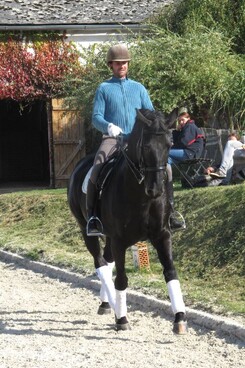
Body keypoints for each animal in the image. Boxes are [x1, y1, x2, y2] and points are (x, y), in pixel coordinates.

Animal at [68, 108, 187, 334]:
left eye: (169, 145)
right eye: (146, 146)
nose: (156, 189)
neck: (140, 196)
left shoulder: (162, 235)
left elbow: (170, 271)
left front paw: (179, 318)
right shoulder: (120, 241)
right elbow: (121, 279)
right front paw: (122, 318)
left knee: (107, 262)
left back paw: (107, 303)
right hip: (87, 229)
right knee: (100, 263)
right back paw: (115, 308)